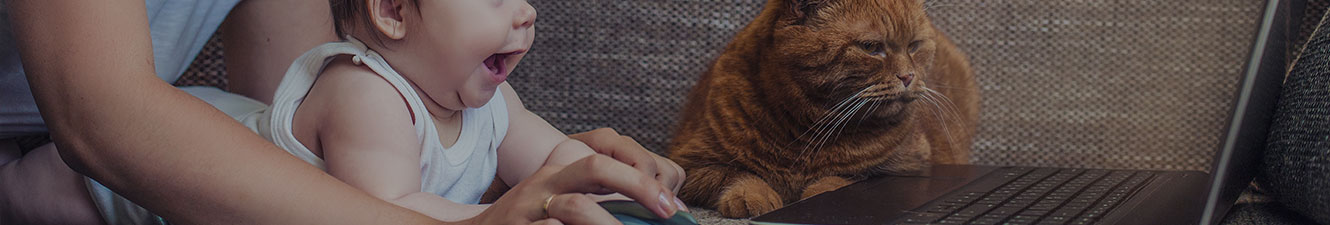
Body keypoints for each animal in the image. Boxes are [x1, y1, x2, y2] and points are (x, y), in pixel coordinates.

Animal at [665, 0, 978, 218]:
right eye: (870, 47)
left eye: (914, 46)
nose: (908, 76)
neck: (807, 129)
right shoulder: (691, 164)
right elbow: (734, 174)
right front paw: (753, 195)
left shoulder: (908, 166)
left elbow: (841, 181)